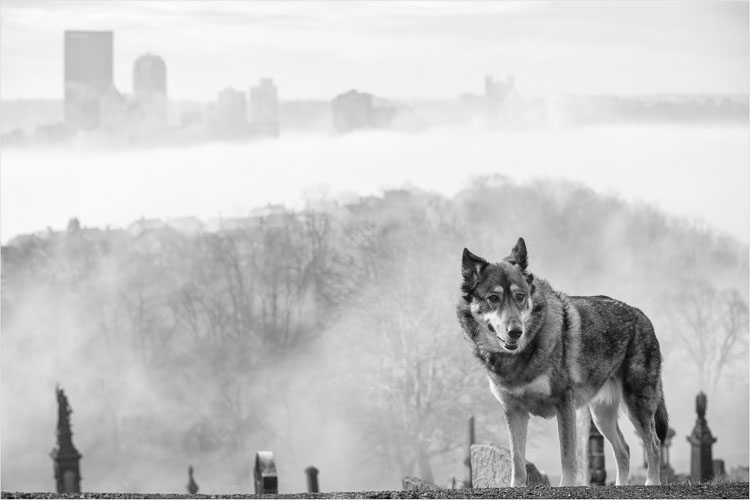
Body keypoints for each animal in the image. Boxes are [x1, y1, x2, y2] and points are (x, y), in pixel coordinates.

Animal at [456, 238, 668, 487]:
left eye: (520, 296)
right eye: (493, 298)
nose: (516, 332)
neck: (520, 358)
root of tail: (643, 317)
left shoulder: (564, 403)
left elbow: (567, 457)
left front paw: (567, 486)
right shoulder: (514, 410)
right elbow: (517, 461)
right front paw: (515, 487)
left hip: (635, 406)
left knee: (654, 444)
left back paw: (652, 483)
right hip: (601, 416)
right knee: (624, 449)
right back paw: (620, 486)